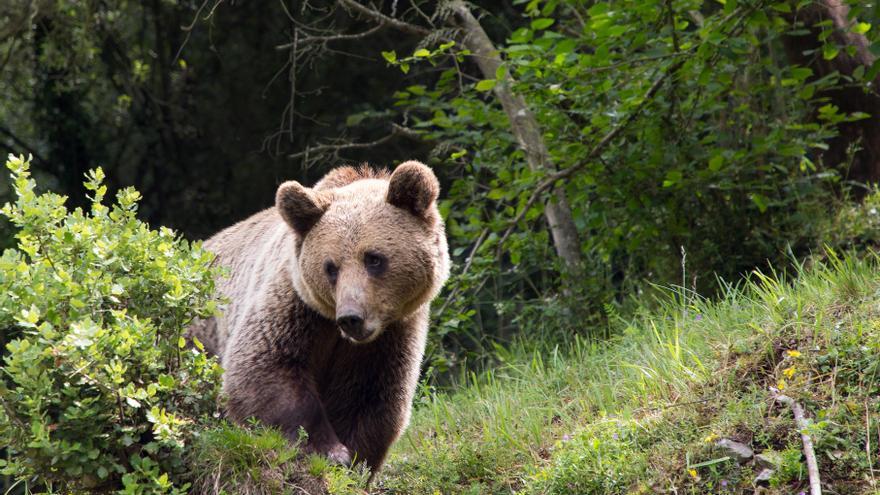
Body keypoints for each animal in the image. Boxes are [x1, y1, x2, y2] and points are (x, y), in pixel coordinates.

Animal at [186, 162, 446, 472]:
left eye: (374, 258)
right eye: (331, 267)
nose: (351, 317)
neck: (338, 334)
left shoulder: (390, 336)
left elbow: (370, 395)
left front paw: (354, 458)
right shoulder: (295, 307)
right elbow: (264, 368)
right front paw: (329, 450)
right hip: (200, 333)